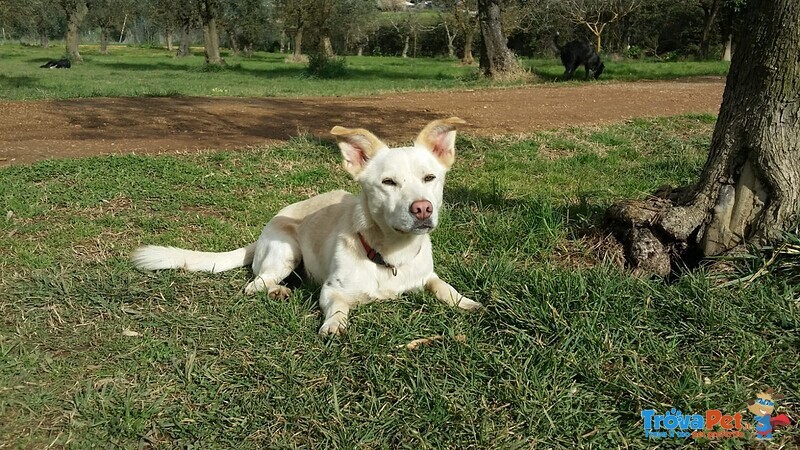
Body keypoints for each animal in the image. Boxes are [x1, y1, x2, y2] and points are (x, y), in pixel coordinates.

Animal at [132, 118, 482, 336]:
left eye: (430, 178)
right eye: (388, 182)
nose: (422, 208)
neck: (392, 254)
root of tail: (261, 235)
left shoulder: (426, 276)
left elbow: (444, 287)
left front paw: (468, 303)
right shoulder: (332, 291)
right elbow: (338, 308)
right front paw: (334, 326)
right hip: (286, 251)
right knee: (255, 284)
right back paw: (278, 291)